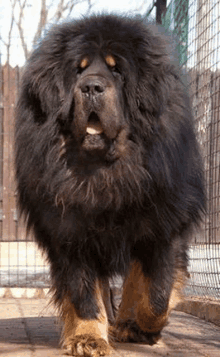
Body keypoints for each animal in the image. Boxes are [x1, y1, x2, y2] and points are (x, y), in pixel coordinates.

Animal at [15, 14, 205, 356]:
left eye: (117, 70)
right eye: (79, 69)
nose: (91, 86)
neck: (106, 174)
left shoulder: (163, 227)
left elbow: (157, 294)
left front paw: (142, 327)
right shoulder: (70, 233)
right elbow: (83, 292)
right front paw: (88, 337)